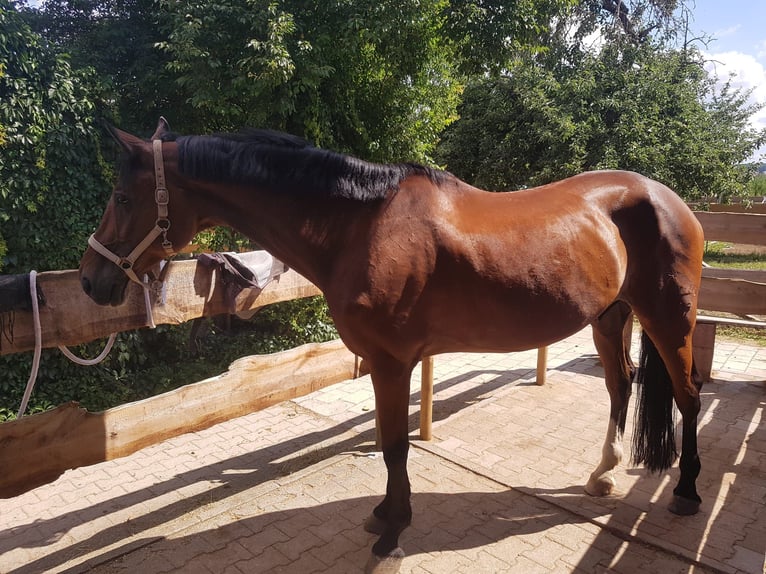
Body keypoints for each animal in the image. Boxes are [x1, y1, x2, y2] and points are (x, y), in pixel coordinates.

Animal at [79, 119, 708, 572]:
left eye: (122, 196)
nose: (91, 281)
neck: (360, 227)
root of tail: (666, 198)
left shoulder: (391, 362)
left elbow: (396, 446)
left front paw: (392, 532)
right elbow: (386, 442)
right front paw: (385, 513)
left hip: (668, 318)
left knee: (688, 394)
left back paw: (686, 491)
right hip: (610, 316)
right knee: (621, 385)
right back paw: (603, 473)